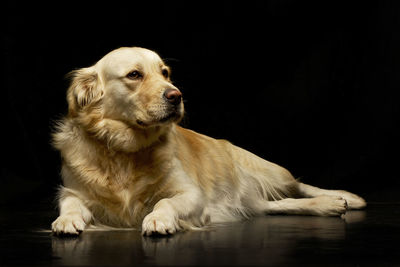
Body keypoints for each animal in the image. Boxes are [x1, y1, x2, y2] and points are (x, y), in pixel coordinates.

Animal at [50, 47, 366, 236]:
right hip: (252, 200)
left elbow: (164, 202)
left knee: (298, 186)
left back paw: (342, 198)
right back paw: (327, 206)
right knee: (279, 205)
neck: (124, 152)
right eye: (134, 75)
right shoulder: (73, 191)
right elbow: (70, 204)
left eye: (165, 73)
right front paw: (65, 220)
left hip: (271, 171)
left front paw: (158, 219)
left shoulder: (192, 195)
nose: (176, 95)